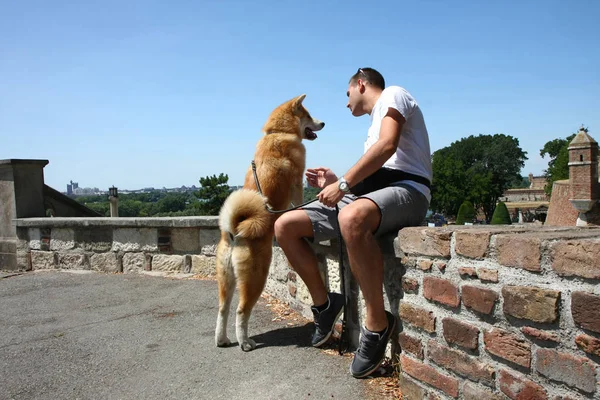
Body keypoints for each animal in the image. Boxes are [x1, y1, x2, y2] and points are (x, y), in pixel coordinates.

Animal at [214, 93, 324, 350]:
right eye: (308, 115)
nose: (323, 123)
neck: (277, 132)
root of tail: (234, 232)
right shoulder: (296, 182)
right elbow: (297, 202)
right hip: (256, 276)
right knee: (241, 311)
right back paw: (245, 342)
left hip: (226, 277)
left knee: (223, 309)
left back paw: (222, 339)